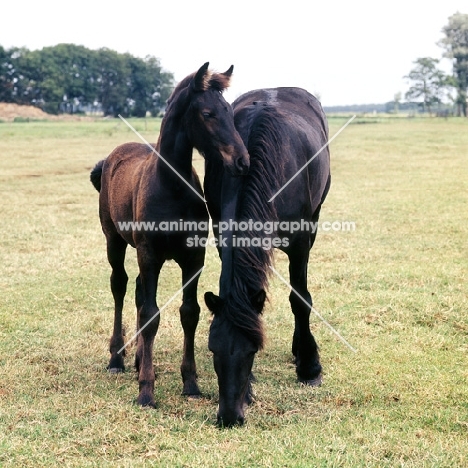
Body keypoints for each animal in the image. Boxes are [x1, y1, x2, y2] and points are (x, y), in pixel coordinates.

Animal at [90, 64, 249, 408]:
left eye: (230, 112)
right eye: (207, 113)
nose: (242, 162)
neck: (171, 187)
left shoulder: (194, 257)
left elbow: (189, 313)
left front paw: (190, 382)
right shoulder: (149, 254)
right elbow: (151, 314)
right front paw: (146, 391)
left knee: (137, 291)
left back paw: (139, 360)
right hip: (115, 241)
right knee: (120, 286)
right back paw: (117, 358)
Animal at [203, 86, 330, 426]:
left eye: (251, 351)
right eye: (213, 350)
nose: (230, 416)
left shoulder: (300, 242)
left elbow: (300, 300)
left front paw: (309, 366)